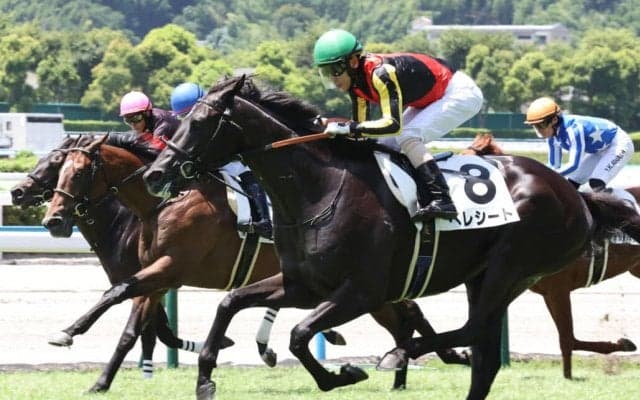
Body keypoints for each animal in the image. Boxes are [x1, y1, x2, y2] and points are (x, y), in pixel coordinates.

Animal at [39, 136, 470, 391]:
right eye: (56, 169)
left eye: (78, 171)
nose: (53, 220)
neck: (162, 203)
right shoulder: (158, 277)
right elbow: (133, 327)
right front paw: (100, 381)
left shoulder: (170, 267)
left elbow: (119, 294)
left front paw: (68, 333)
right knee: (402, 314)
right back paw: (402, 372)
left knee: (406, 313)